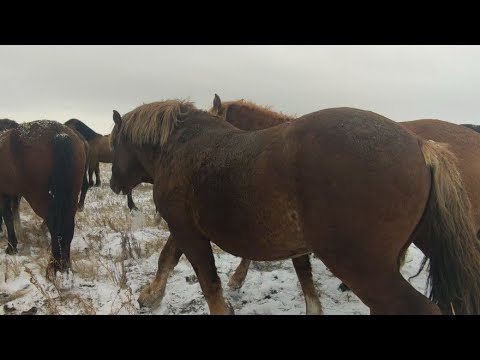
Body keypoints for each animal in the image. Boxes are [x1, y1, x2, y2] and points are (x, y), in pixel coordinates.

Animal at [0, 120, 87, 278]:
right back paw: (66, 265)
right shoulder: (12, 193)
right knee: (68, 226)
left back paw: (55, 266)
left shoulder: (4, 191)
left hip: (38, 197)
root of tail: (59, 134)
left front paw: (11, 247)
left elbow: (7, 216)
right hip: (71, 197)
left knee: (53, 224)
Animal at [109, 99, 480, 316]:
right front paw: (151, 296)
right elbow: (168, 258)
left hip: (365, 268)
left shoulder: (188, 231)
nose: (112, 184)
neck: (183, 147)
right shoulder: (187, 228)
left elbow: (208, 283)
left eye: (114, 143)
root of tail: (422, 146)